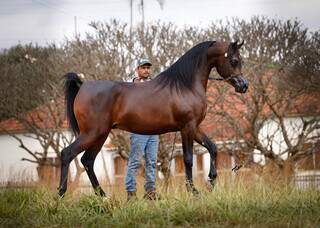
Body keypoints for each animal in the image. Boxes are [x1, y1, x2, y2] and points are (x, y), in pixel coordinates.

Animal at [57, 40, 249, 197]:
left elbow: (213, 148)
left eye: (241, 60)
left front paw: (211, 181)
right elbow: (188, 159)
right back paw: (61, 194)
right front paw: (193, 191)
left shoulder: (195, 128)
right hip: (93, 133)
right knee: (67, 154)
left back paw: (103, 196)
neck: (185, 85)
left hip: (100, 135)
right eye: (233, 60)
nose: (244, 86)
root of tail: (83, 86)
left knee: (87, 161)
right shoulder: (187, 128)